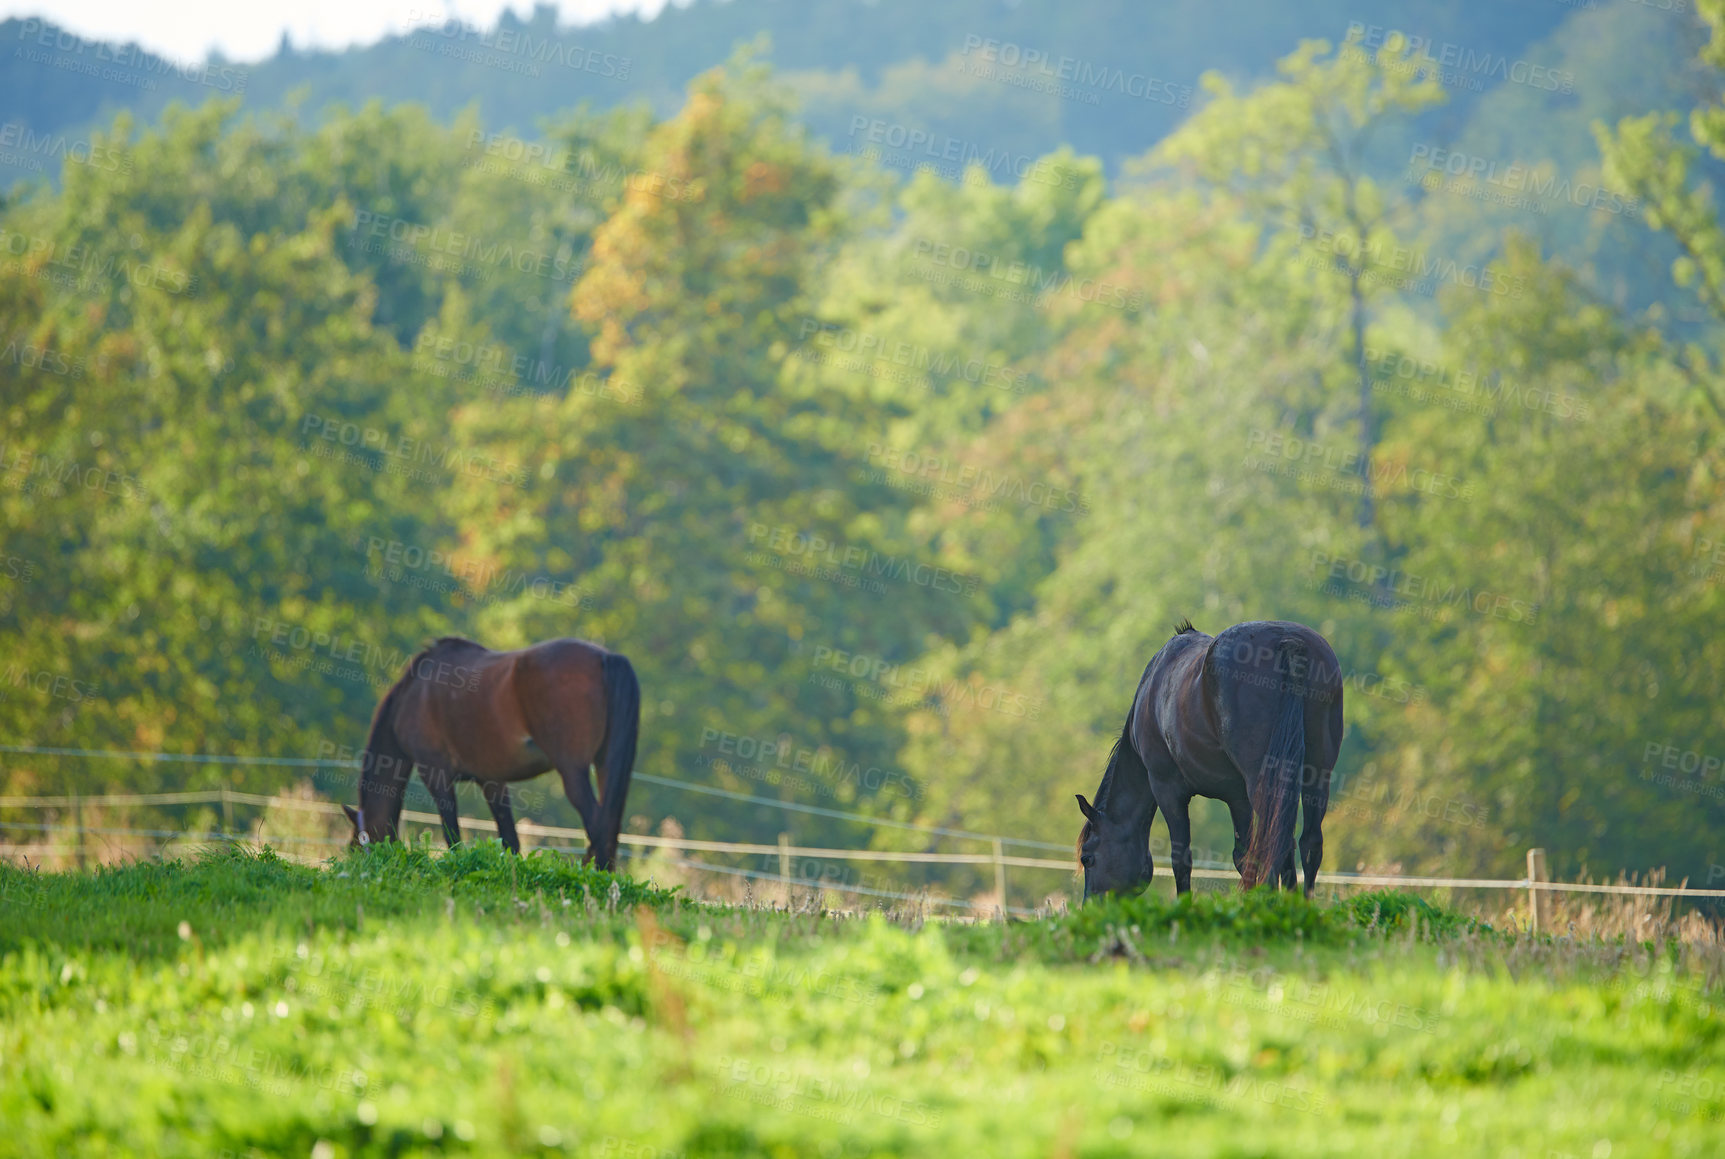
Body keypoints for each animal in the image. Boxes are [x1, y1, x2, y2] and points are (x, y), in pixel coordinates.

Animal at [346, 634, 645, 869]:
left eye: (357, 844)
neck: (414, 694)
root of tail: (605, 658)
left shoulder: (436, 774)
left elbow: (452, 835)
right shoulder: (492, 781)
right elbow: (510, 839)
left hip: (572, 771)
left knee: (598, 825)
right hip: (604, 766)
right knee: (609, 823)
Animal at [1076, 620, 1345, 903]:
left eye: (1087, 858)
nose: (1088, 906)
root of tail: (1289, 642)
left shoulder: (1169, 789)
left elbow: (1183, 859)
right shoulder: (1238, 796)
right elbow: (1244, 856)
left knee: (1274, 841)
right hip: (1318, 776)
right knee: (1306, 843)